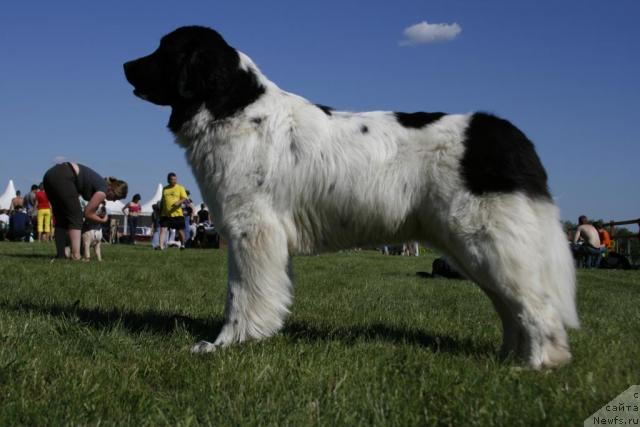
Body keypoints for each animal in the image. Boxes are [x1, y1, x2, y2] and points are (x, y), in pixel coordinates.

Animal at [122, 26, 576, 370]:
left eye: (165, 50)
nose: (125, 64)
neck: (233, 109)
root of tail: (505, 133)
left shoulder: (252, 230)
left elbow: (240, 294)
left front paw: (225, 344)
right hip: (472, 249)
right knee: (510, 307)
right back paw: (509, 358)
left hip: (486, 240)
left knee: (536, 306)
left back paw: (537, 365)